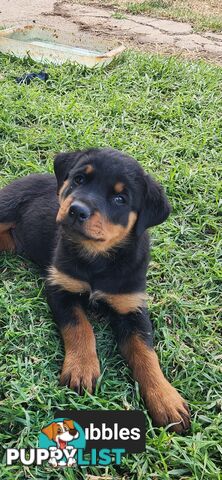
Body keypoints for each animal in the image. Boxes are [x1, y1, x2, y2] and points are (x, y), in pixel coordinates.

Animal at [0, 146, 191, 432]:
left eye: (120, 199)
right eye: (79, 179)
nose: (77, 210)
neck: (98, 258)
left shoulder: (132, 305)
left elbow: (145, 352)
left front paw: (166, 399)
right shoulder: (60, 286)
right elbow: (80, 327)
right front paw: (82, 367)